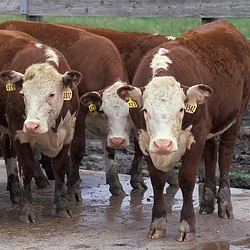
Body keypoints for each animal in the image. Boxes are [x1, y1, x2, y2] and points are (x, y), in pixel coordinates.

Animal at [0, 20, 137, 196]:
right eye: (104, 112)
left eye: (129, 115)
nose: (119, 141)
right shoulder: (80, 114)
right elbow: (78, 150)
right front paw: (73, 186)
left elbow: (109, 150)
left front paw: (115, 184)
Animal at [0, 29, 81, 223]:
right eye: (23, 94)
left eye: (51, 94)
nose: (32, 126)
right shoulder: (19, 134)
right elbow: (27, 169)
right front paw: (27, 209)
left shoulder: (67, 135)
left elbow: (59, 170)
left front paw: (61, 207)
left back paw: (14, 191)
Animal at [117, 20, 250, 242]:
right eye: (145, 110)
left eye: (181, 109)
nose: (163, 144)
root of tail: (224, 23)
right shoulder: (145, 141)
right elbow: (157, 181)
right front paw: (157, 224)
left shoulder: (196, 137)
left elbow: (187, 180)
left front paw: (187, 226)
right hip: (209, 128)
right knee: (211, 154)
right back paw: (207, 202)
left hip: (236, 116)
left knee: (224, 155)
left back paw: (224, 204)